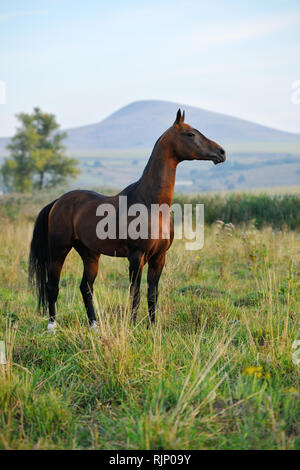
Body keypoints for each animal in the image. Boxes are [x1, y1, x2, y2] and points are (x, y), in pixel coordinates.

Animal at [29, 109, 225, 330]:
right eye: (190, 134)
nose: (221, 152)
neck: (151, 205)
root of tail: (57, 202)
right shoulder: (136, 257)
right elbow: (135, 294)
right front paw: (132, 326)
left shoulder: (159, 258)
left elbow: (152, 295)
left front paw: (152, 328)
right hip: (58, 251)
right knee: (52, 286)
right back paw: (52, 326)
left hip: (90, 254)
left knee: (85, 287)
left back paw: (94, 326)